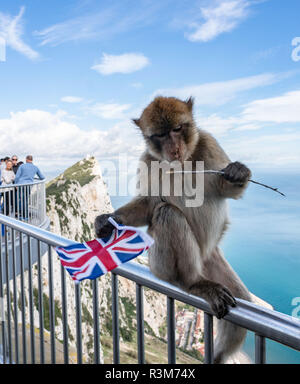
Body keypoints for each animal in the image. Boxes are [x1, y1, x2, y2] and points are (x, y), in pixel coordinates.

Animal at [95, 96, 252, 364]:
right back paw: (193, 282)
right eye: (160, 134)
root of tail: (202, 257)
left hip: (211, 259)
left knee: (240, 299)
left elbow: (226, 189)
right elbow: (150, 204)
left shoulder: (209, 143)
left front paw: (238, 172)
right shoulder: (147, 161)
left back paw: (218, 356)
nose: (174, 148)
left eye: (177, 129)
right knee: (167, 214)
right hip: (160, 263)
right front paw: (107, 220)